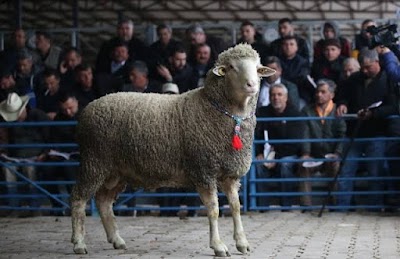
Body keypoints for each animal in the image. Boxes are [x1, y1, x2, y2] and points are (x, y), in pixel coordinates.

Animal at [70, 44, 276, 258]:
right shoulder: (204, 171)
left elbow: (236, 207)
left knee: (103, 202)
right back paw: (79, 243)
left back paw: (117, 240)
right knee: (78, 199)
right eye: (232, 67)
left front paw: (242, 243)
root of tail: (88, 109)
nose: (252, 85)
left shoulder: (230, 174)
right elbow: (214, 209)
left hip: (115, 172)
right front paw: (218, 246)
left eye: (257, 68)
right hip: (94, 161)